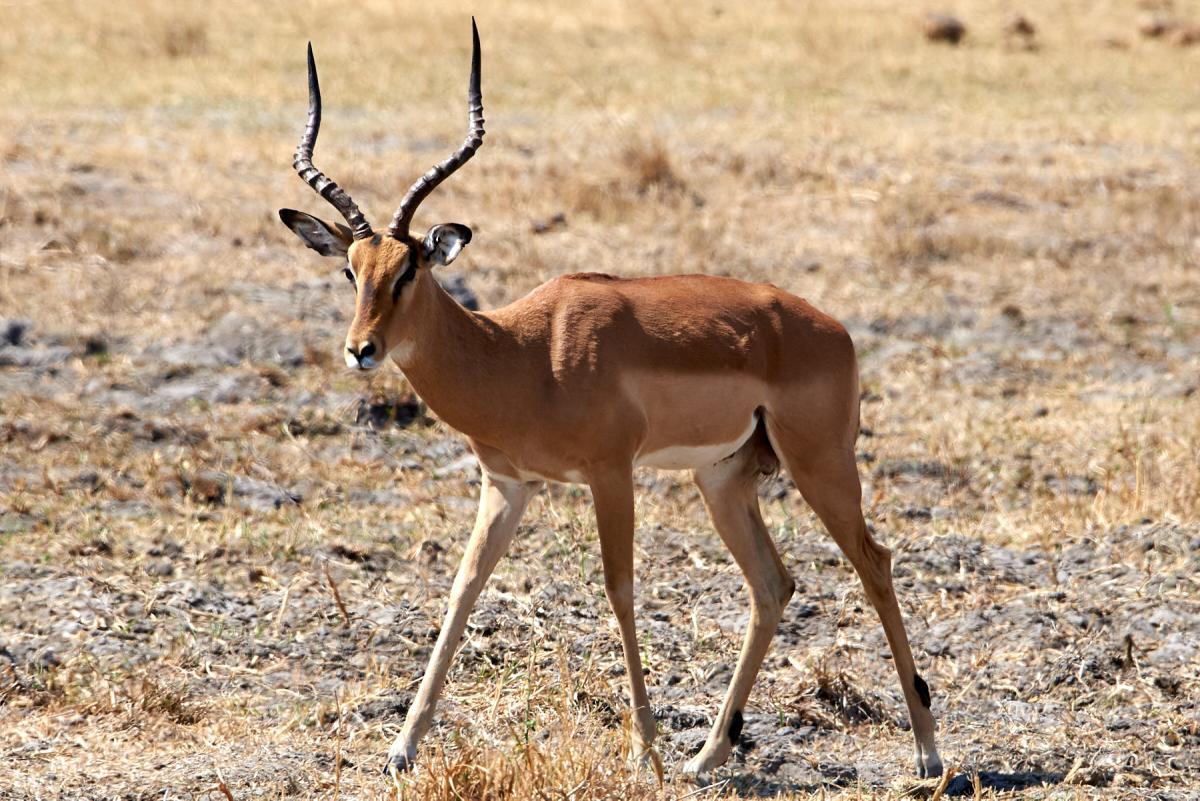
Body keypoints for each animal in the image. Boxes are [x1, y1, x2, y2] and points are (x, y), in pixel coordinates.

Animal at [278, 20, 944, 780]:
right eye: (351, 270)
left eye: (410, 269)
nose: (361, 349)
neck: (522, 353)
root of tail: (835, 329)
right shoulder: (507, 483)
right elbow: (463, 586)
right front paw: (401, 747)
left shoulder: (610, 472)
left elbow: (619, 588)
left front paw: (643, 748)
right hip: (723, 479)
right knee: (773, 585)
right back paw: (708, 754)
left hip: (820, 465)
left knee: (874, 562)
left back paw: (926, 752)